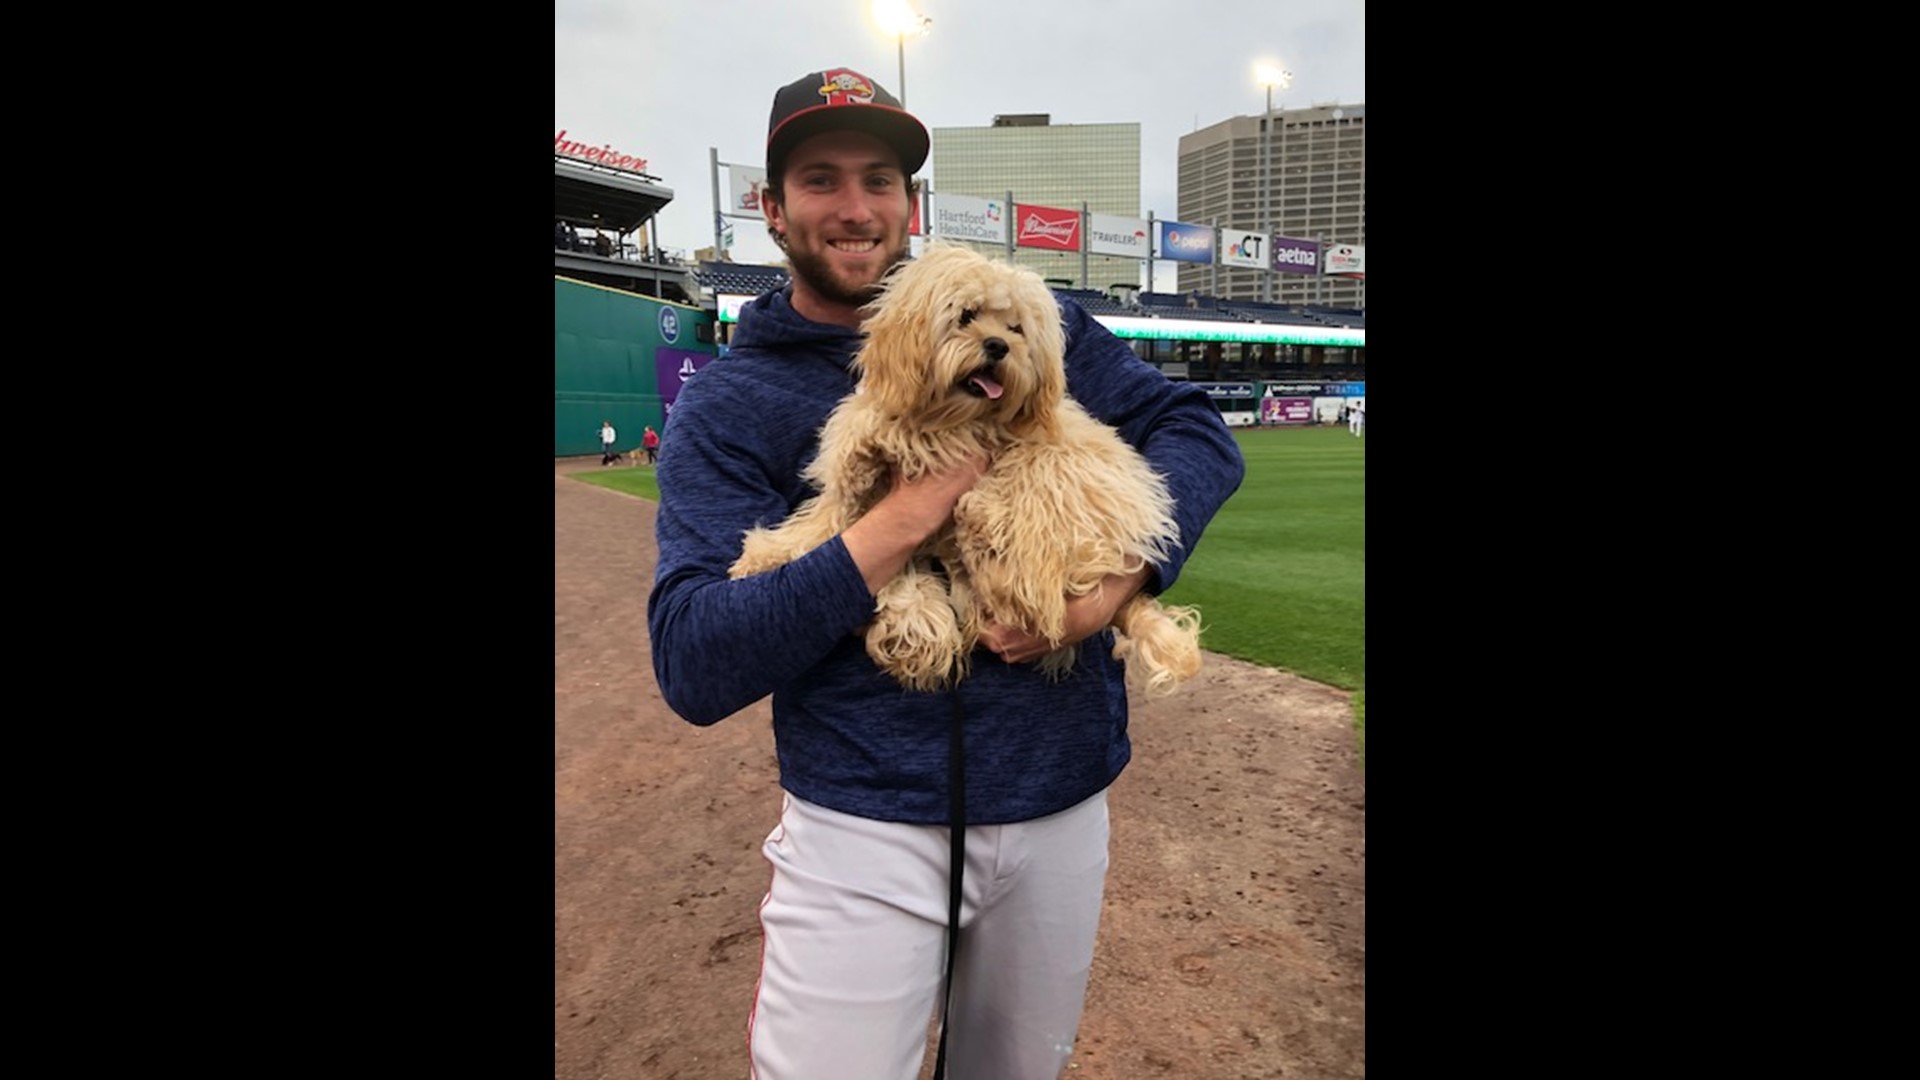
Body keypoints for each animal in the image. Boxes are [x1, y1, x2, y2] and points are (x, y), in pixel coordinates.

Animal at [729, 242, 1198, 687]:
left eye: (1015, 328)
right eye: (967, 314)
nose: (998, 346)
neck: (952, 412)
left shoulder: (963, 441)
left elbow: (885, 436)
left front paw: (871, 437)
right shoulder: (856, 505)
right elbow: (823, 521)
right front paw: (763, 556)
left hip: (1060, 476)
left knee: (1032, 590)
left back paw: (981, 525)